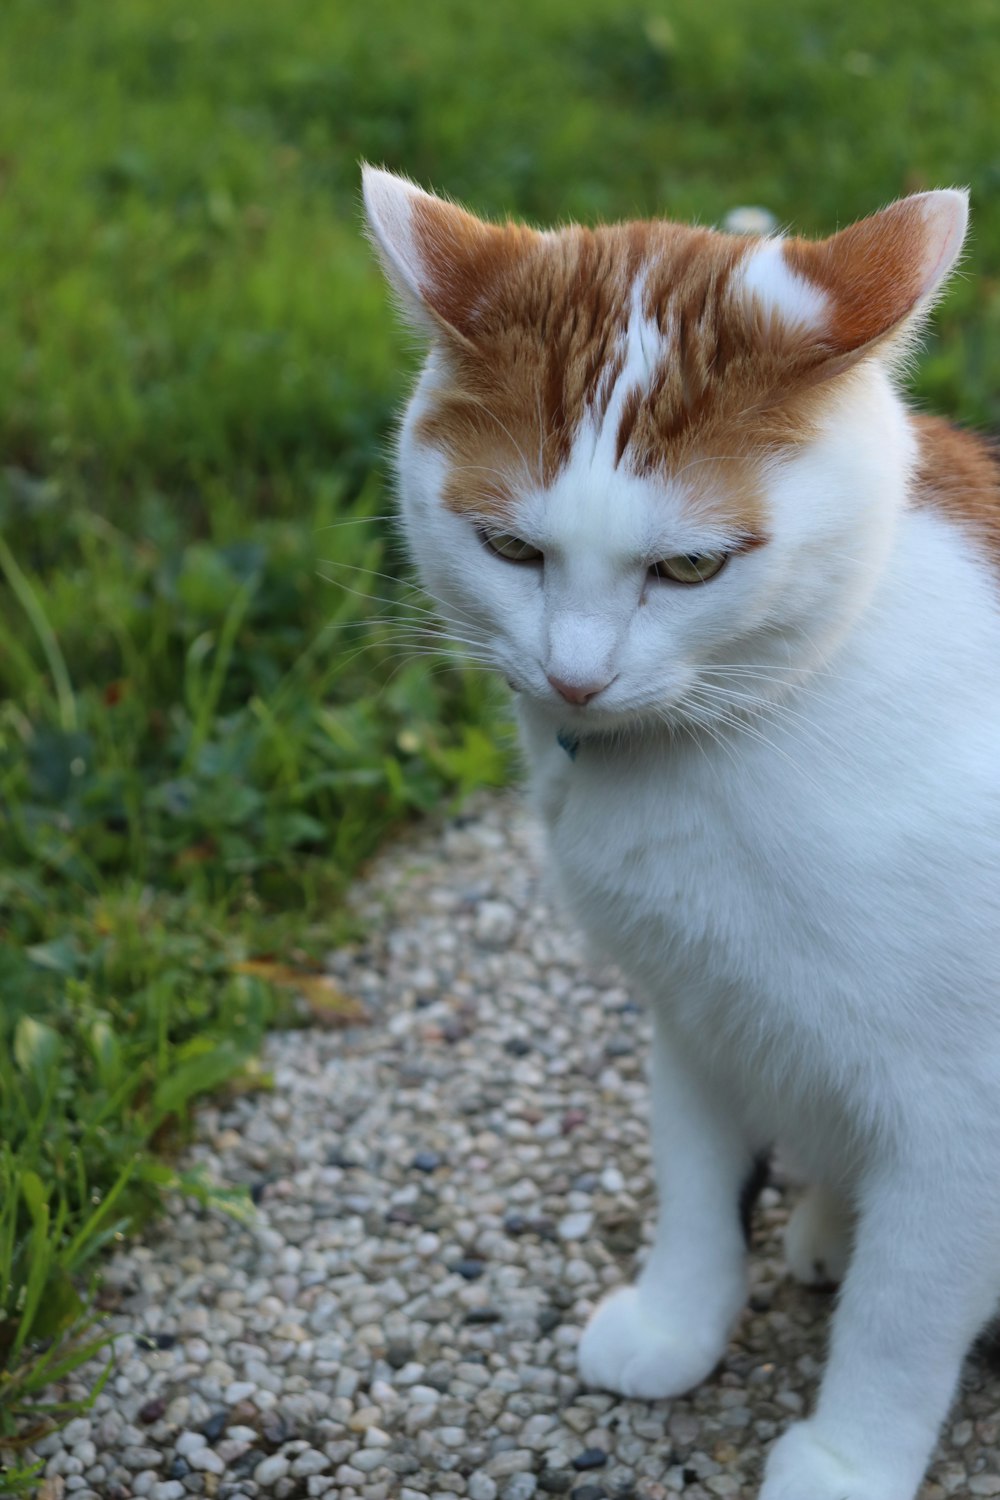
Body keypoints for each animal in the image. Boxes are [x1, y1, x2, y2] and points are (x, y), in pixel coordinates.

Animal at [364, 164, 1000, 1500]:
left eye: (692, 569)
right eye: (511, 548)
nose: (575, 676)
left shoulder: (968, 1115)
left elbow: (904, 1311)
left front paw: (849, 1460)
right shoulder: (698, 1008)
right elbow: (698, 1190)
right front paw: (676, 1322)